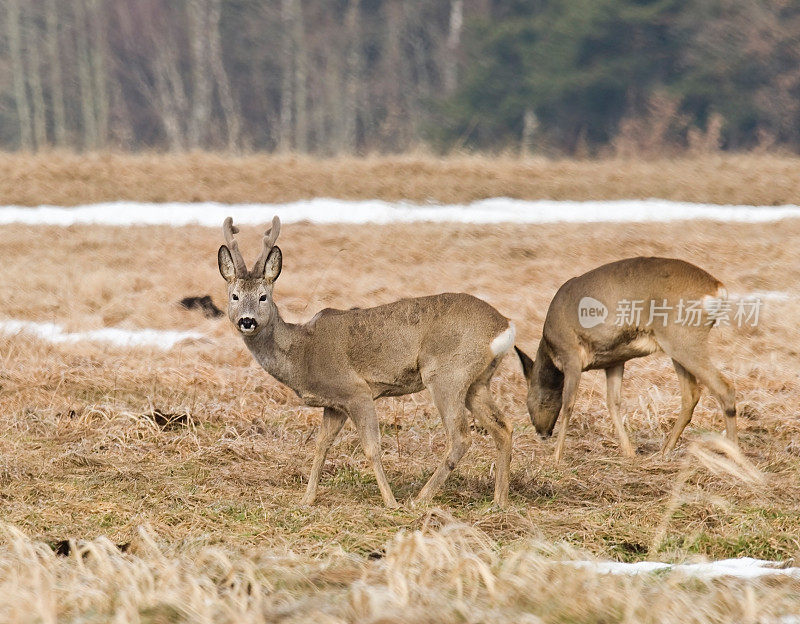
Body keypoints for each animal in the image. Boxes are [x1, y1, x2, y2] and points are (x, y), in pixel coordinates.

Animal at [219, 217, 516, 510]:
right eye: (234, 296)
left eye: (263, 296)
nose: (247, 320)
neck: (302, 354)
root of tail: (505, 326)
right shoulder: (334, 405)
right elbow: (321, 446)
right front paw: (306, 500)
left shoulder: (356, 391)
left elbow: (371, 448)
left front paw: (390, 502)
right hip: (477, 380)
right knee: (503, 426)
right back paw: (499, 501)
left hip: (447, 373)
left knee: (460, 437)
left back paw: (419, 499)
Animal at [516, 256, 736, 460]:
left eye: (528, 401)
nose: (542, 433)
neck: (550, 349)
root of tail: (718, 288)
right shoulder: (615, 361)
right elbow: (613, 403)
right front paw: (629, 452)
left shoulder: (571, 354)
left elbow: (568, 403)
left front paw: (556, 457)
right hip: (676, 345)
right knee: (691, 394)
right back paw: (664, 451)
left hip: (683, 339)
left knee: (724, 387)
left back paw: (733, 454)